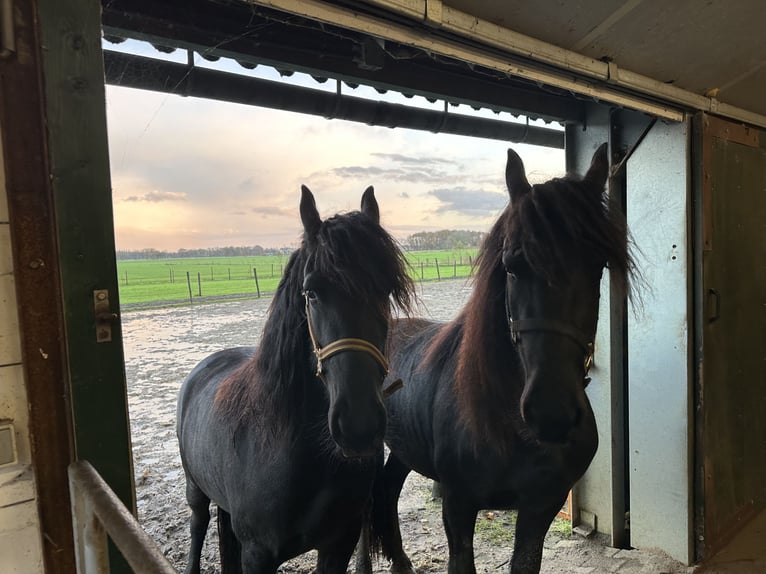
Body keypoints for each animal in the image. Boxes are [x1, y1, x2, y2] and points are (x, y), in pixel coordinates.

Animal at [178, 187, 416, 572]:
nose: (358, 425)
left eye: (385, 291)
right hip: (194, 490)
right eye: (312, 293)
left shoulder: (338, 545)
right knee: (197, 527)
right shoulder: (258, 554)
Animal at [364, 145, 636, 574]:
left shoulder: (540, 508)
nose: (551, 413)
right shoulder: (458, 507)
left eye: (598, 265)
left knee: (389, 489)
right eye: (512, 266)